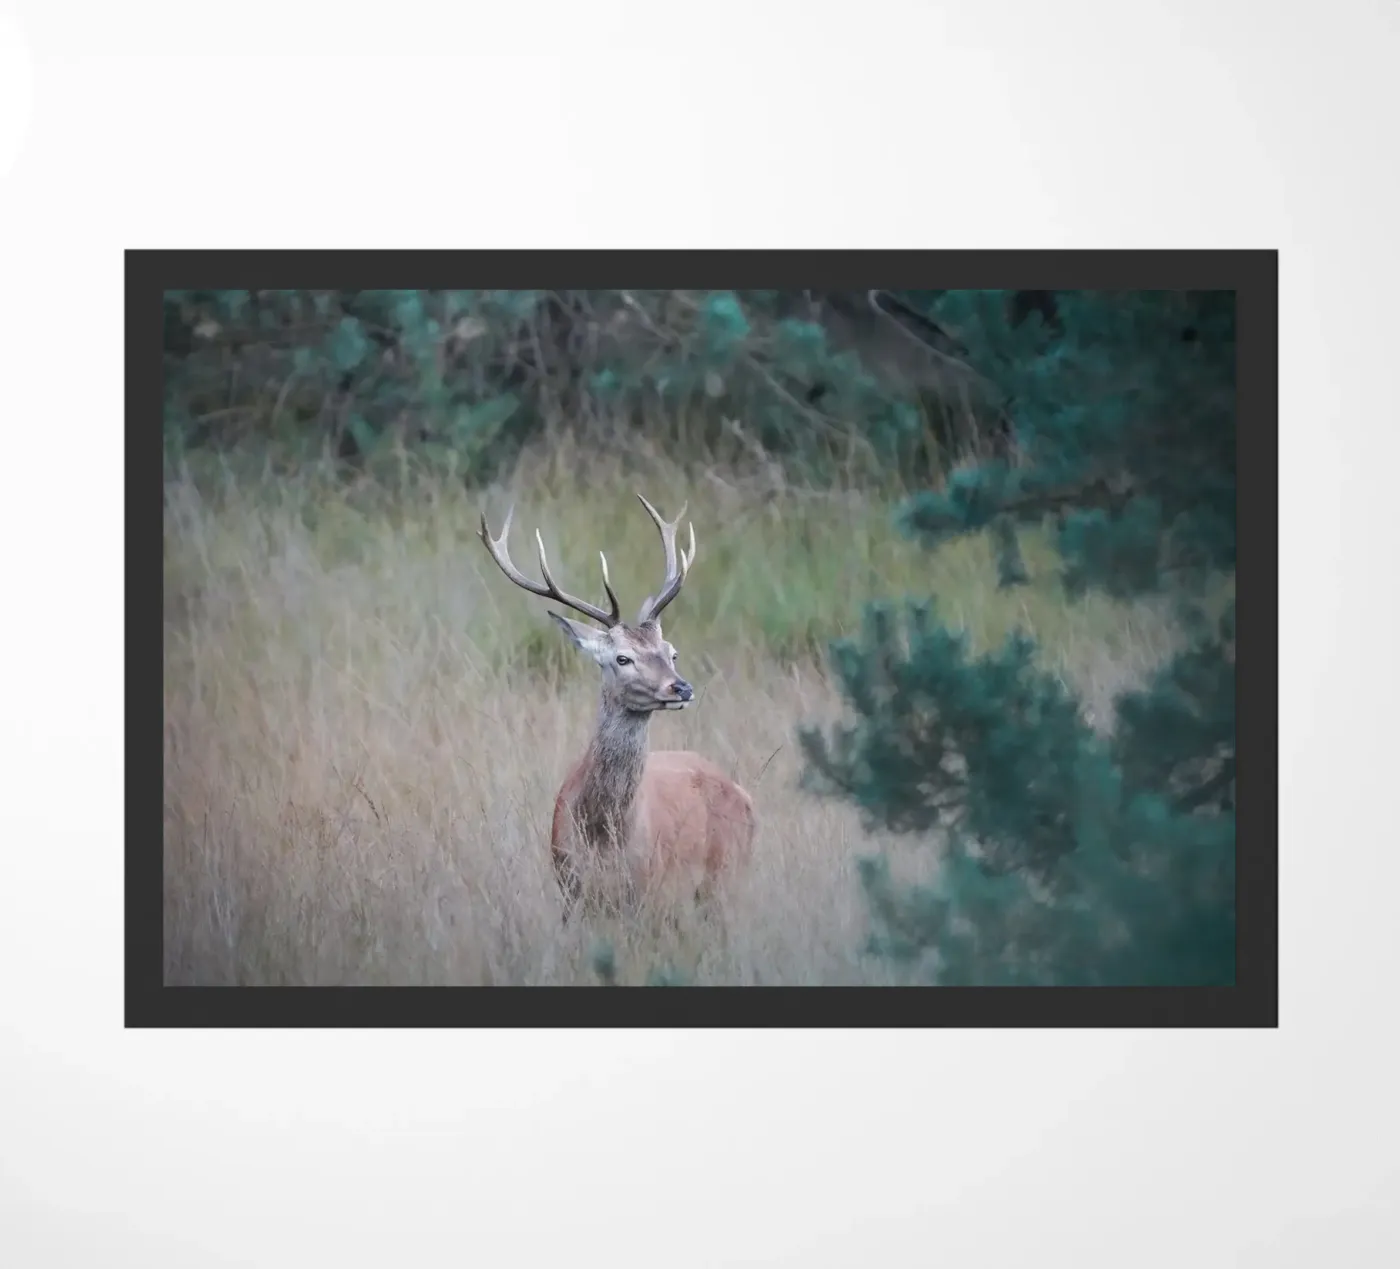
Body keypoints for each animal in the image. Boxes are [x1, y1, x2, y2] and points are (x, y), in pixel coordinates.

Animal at [479, 493, 756, 919]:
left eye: (671, 652)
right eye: (622, 658)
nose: (681, 688)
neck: (604, 840)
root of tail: (743, 794)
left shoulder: (650, 892)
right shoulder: (570, 888)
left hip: (726, 879)